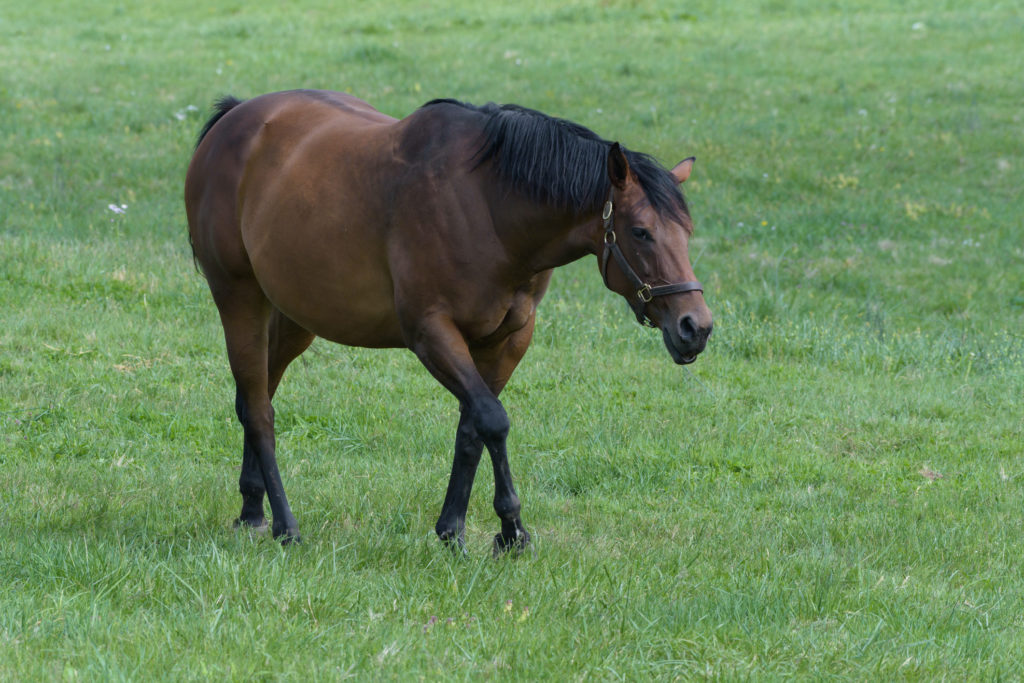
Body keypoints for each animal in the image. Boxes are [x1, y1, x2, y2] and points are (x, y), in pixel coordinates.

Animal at [184, 90, 712, 552]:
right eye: (641, 232)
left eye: (687, 231)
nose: (696, 327)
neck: (490, 208)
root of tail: (235, 119)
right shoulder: (431, 333)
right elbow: (493, 421)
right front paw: (512, 531)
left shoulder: (507, 340)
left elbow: (472, 428)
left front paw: (452, 530)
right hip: (239, 299)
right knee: (260, 411)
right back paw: (285, 527)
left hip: (296, 317)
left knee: (256, 394)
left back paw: (252, 510)